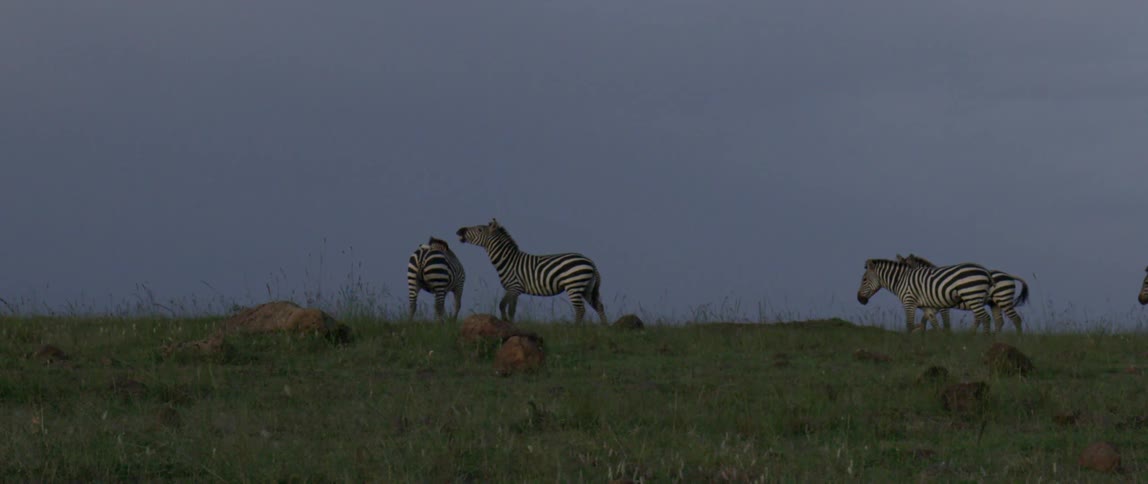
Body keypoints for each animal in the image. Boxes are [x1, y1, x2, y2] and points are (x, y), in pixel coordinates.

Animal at [455, 219, 607, 324]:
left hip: (574, 285)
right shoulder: (513, 290)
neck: (508, 261)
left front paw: (507, 323)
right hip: (586, 288)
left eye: (479, 229)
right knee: (599, 306)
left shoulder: (514, 287)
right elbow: (509, 308)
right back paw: (605, 328)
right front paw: (510, 323)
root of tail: (590, 261)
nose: (459, 231)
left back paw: (576, 329)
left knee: (580, 310)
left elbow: (504, 306)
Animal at [856, 258, 993, 334]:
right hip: (975, 298)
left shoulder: (909, 302)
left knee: (986, 318)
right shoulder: (927, 306)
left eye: (864, 279)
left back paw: (985, 339)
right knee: (983, 318)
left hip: (972, 295)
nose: (859, 299)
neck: (901, 280)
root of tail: (986, 271)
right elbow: (933, 324)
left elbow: (909, 325)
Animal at [896, 254, 1030, 334]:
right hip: (994, 302)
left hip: (1002, 299)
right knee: (998, 321)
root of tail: (1009, 275)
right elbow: (926, 319)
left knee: (1014, 319)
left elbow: (941, 321)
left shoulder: (941, 306)